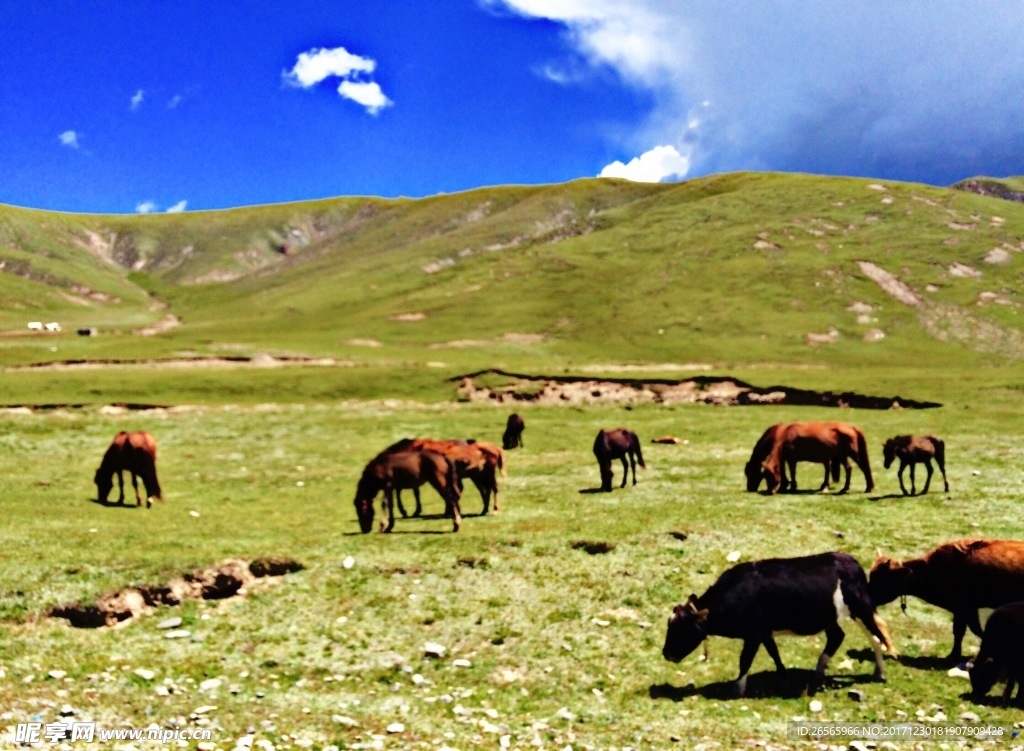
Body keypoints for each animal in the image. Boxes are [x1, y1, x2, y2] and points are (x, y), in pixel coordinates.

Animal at [663, 549, 897, 692]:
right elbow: (774, 653)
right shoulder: (764, 632)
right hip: (833, 617)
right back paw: (818, 672)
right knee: (837, 637)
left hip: (861, 610)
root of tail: (850, 561)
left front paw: (737, 689)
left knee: (877, 636)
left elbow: (745, 660)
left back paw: (879, 672)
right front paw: (783, 676)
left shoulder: (753, 634)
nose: (666, 654)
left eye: (681, 628)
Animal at [872, 540, 1024, 655]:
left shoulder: (962, 609)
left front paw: (953, 656)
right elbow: (973, 630)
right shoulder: (968, 609)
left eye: (880, 581)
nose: (869, 597)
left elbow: (961, 631)